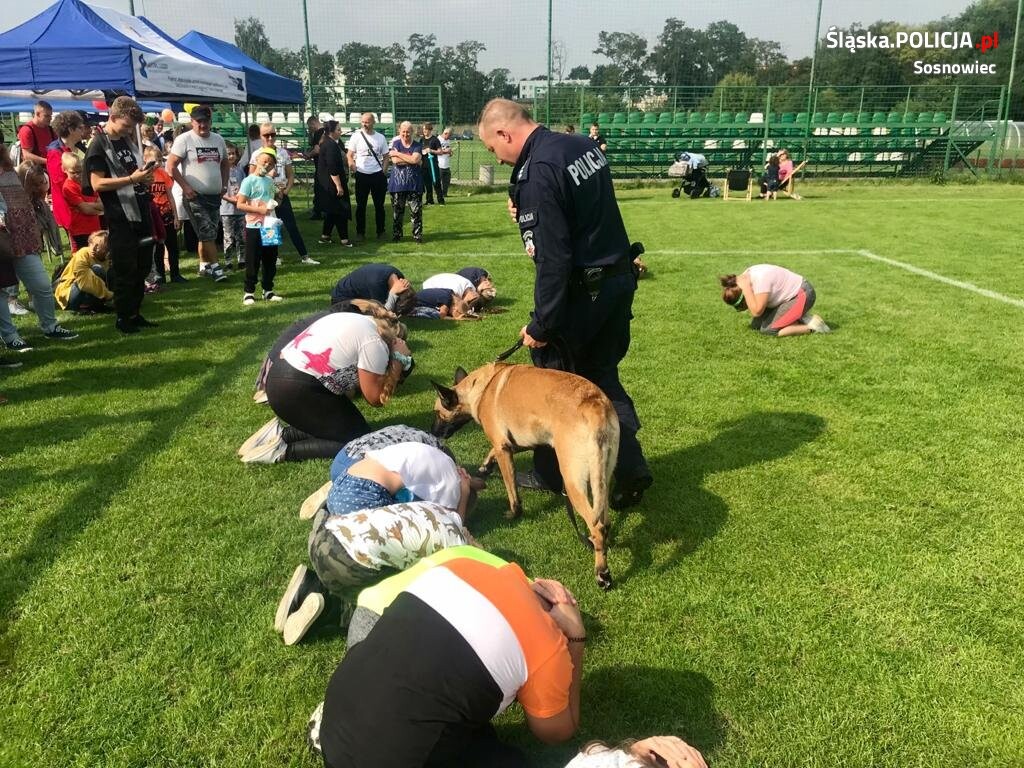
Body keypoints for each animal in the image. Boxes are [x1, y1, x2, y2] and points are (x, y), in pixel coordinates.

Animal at [430, 364, 618, 589]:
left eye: (438, 413)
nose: (431, 432)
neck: (481, 387)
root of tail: (595, 404)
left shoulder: (503, 449)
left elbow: (511, 488)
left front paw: (514, 513)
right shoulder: (515, 443)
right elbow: (496, 453)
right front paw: (486, 465)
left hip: (574, 481)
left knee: (597, 526)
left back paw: (602, 573)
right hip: (603, 478)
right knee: (605, 522)